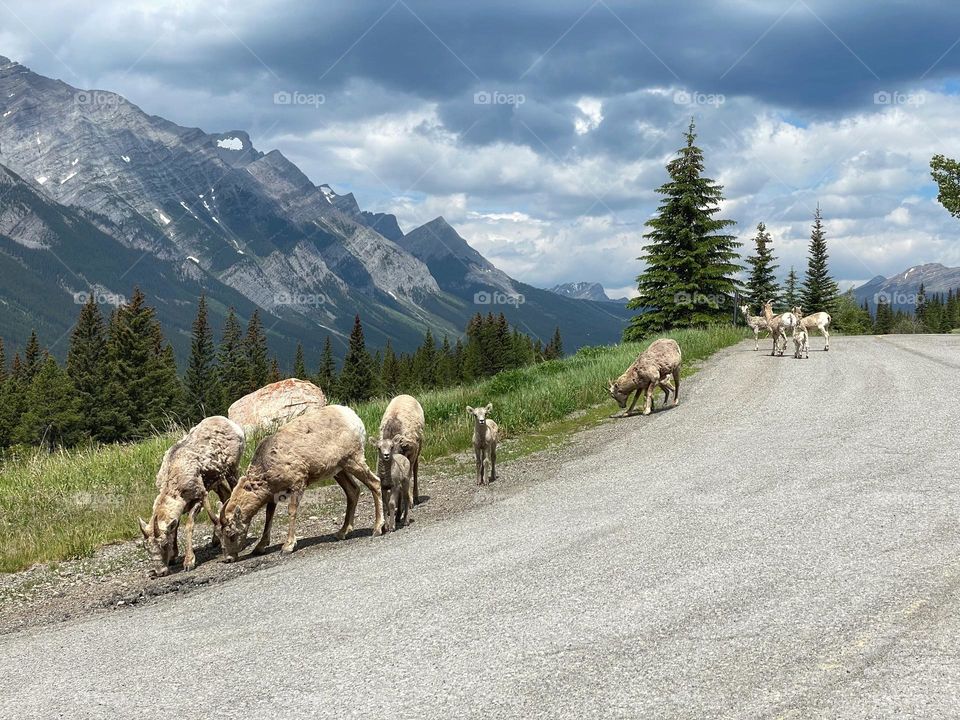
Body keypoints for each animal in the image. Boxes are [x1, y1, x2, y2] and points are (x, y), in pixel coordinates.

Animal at [138, 416, 246, 572]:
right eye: (146, 548)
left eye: (164, 544)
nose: (160, 572)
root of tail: (230, 423)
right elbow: (175, 527)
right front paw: (173, 557)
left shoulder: (199, 498)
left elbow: (189, 525)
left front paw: (189, 562)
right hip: (217, 482)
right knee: (225, 496)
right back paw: (215, 541)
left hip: (231, 470)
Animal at [219, 402, 384, 560]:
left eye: (231, 535)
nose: (228, 558)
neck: (267, 464)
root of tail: (353, 417)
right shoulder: (273, 493)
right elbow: (268, 516)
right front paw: (260, 547)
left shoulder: (297, 482)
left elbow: (291, 510)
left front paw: (287, 547)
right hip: (339, 469)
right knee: (353, 491)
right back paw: (341, 533)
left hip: (353, 460)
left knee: (375, 483)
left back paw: (377, 528)